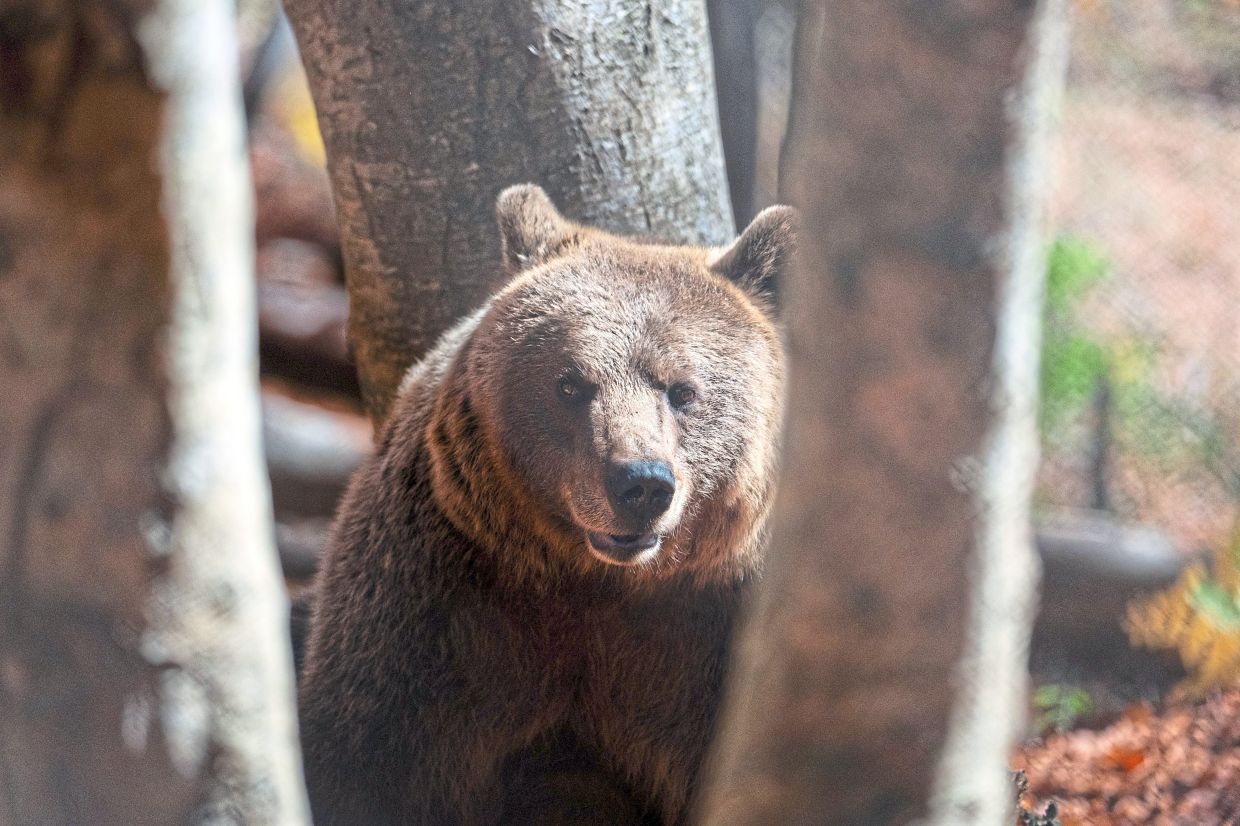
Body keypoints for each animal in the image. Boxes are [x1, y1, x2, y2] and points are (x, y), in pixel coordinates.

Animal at [297, 184, 795, 825]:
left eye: (683, 390)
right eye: (569, 383)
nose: (640, 484)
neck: (597, 582)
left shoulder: (715, 629)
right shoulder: (440, 610)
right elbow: (371, 755)